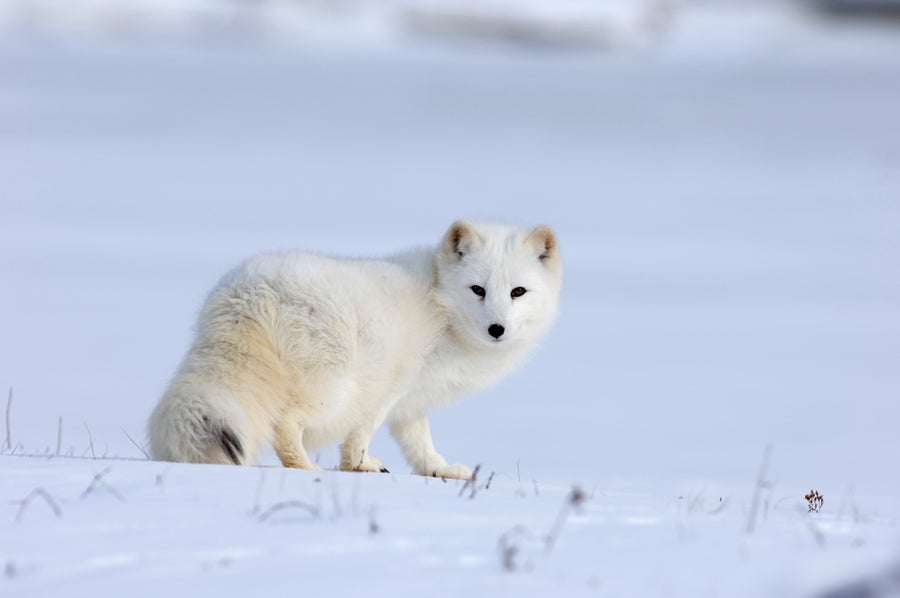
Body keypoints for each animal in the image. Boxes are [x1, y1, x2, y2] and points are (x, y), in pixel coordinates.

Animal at [148, 223, 560, 480]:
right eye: (478, 290)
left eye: (518, 292)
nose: (497, 329)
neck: (441, 306)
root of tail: (247, 294)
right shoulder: (388, 387)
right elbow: (361, 433)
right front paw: (357, 467)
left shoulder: (411, 401)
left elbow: (420, 443)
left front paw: (440, 470)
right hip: (336, 388)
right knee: (284, 424)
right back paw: (306, 469)